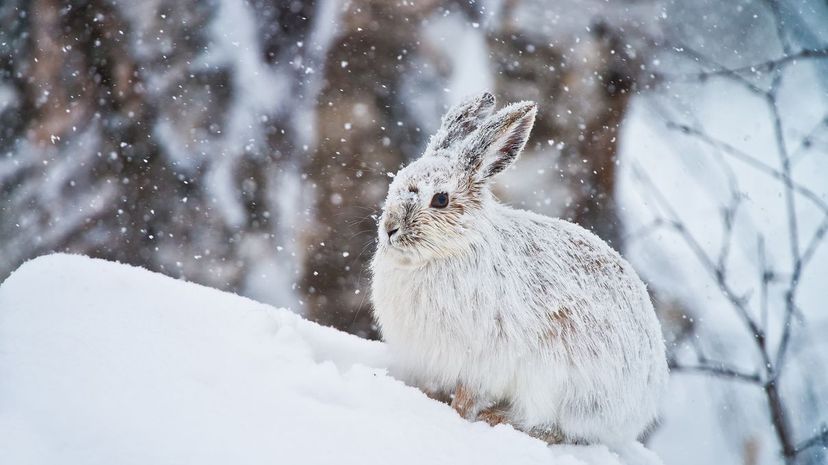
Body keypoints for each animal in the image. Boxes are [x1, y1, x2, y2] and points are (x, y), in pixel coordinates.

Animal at [370, 92, 668, 446]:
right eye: (399, 180)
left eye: (440, 200)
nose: (389, 228)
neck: (449, 249)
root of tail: (640, 408)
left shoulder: (481, 362)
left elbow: (466, 399)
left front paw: (457, 417)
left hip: (552, 378)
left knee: (550, 429)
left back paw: (497, 419)